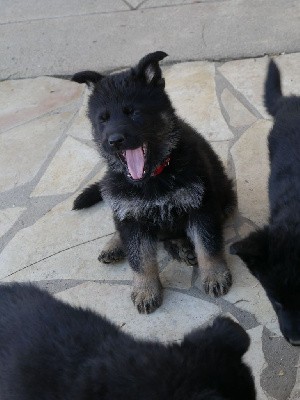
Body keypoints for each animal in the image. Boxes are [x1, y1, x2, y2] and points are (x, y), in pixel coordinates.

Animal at [73, 51, 237, 312]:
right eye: (103, 119)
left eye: (133, 112)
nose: (114, 140)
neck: (154, 176)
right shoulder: (131, 214)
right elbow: (139, 258)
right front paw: (145, 290)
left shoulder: (201, 206)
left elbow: (207, 244)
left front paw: (214, 275)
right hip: (116, 197)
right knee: (122, 227)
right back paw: (115, 245)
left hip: (224, 199)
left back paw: (182, 247)